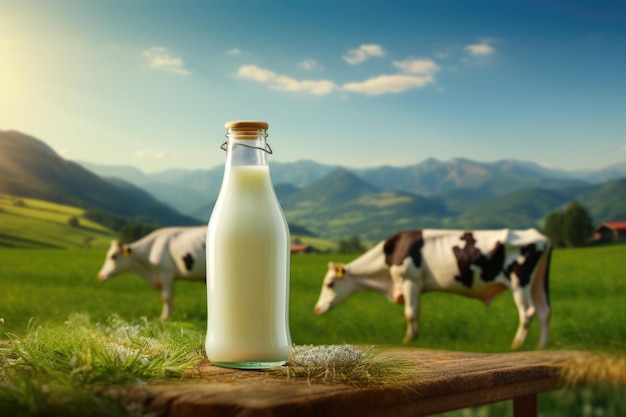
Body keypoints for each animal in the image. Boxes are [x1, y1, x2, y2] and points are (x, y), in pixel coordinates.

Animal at [314, 229, 548, 346]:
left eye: (330, 283)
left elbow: (409, 313)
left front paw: (407, 340)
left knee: (528, 312)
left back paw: (516, 344)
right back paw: (542, 346)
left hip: (520, 282)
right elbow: (416, 312)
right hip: (537, 283)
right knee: (544, 311)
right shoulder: (416, 286)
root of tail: (540, 237)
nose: (317, 308)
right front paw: (415, 337)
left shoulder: (410, 280)